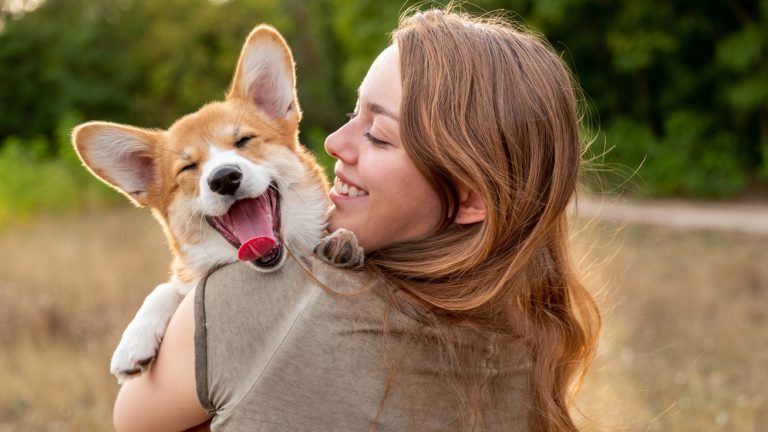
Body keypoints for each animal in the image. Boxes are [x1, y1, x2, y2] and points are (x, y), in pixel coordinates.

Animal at [73, 24, 362, 382]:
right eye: (188, 167)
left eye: (244, 140)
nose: (224, 177)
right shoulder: (187, 279)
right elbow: (167, 287)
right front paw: (133, 341)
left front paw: (341, 245)